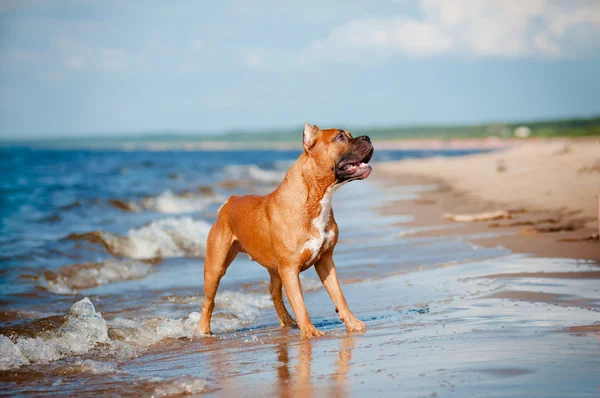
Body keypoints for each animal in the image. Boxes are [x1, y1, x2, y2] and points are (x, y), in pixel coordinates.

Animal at [197, 123, 376, 338]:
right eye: (340, 137)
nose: (367, 137)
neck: (316, 197)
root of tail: (230, 201)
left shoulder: (325, 261)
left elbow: (338, 295)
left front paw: (352, 323)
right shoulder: (290, 269)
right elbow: (299, 302)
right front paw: (310, 331)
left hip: (274, 269)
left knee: (274, 292)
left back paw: (288, 322)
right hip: (215, 266)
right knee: (209, 300)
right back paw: (203, 330)